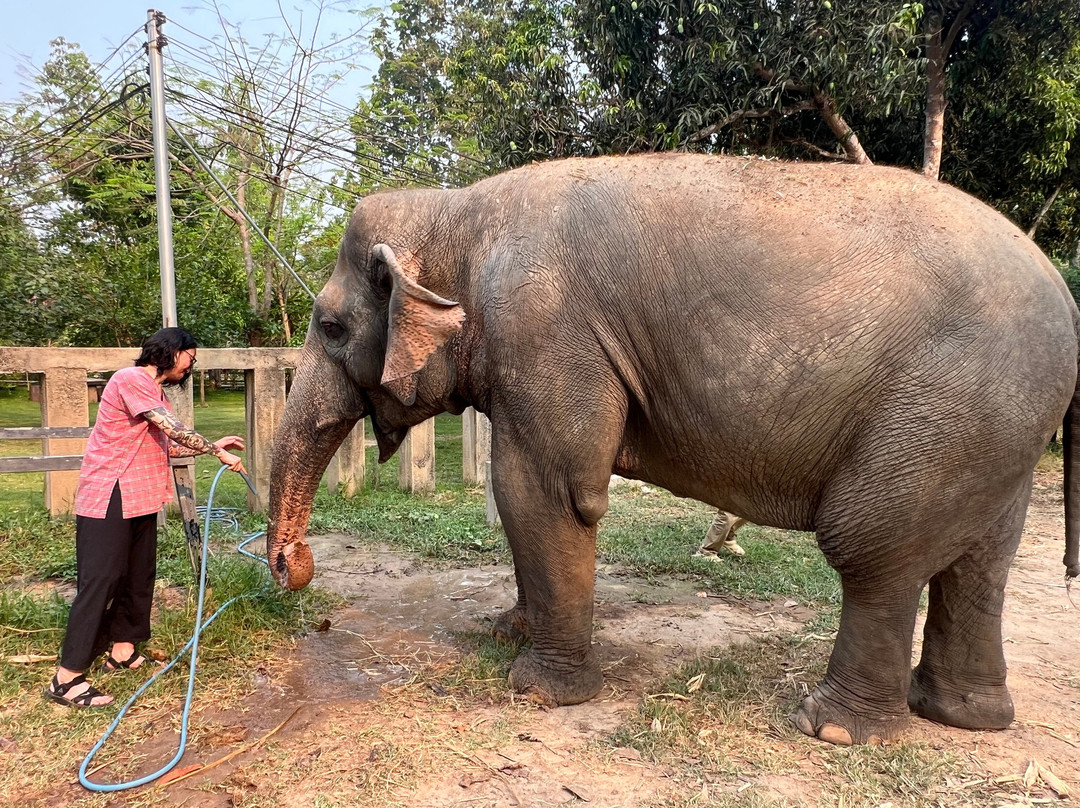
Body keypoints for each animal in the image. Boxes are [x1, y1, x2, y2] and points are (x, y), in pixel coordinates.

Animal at [266, 153, 1080, 747]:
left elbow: (545, 491)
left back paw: (834, 730)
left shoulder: (546, 332)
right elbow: (530, 498)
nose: (293, 569)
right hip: (996, 428)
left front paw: (537, 691)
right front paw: (506, 631)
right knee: (980, 563)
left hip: (945, 408)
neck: (456, 209)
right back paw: (964, 717)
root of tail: (1067, 297)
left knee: (872, 548)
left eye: (330, 327)